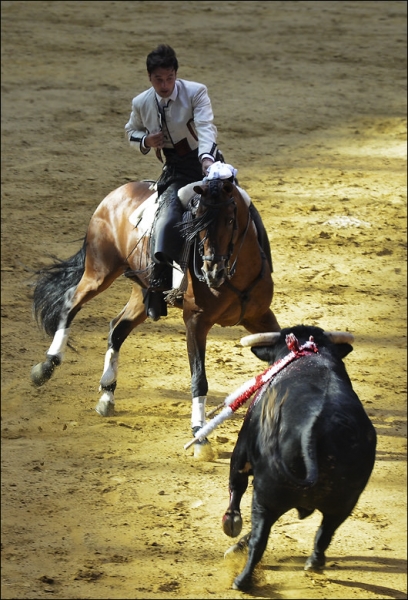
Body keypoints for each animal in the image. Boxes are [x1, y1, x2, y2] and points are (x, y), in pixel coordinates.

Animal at [31, 178, 280, 460]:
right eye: (196, 221)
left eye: (229, 220)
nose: (211, 272)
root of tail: (117, 193)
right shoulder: (196, 321)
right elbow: (199, 379)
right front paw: (200, 435)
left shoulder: (260, 317)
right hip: (100, 270)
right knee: (70, 303)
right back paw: (47, 366)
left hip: (142, 291)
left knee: (117, 328)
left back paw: (107, 394)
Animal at [222, 324, 378, 592]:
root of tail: (311, 431)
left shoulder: (241, 453)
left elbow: (236, 485)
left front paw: (231, 523)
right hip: (345, 503)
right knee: (325, 533)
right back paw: (314, 563)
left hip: (266, 496)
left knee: (259, 538)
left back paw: (242, 580)